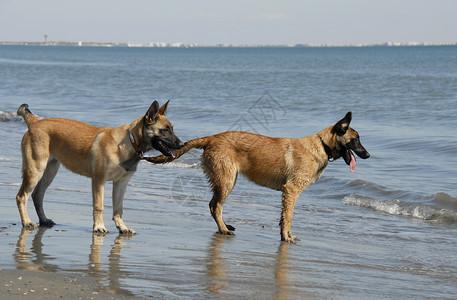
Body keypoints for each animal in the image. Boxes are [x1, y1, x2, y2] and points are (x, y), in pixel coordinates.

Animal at [16, 102, 183, 233]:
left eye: (172, 128)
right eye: (165, 129)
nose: (181, 145)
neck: (129, 142)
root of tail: (35, 122)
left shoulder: (121, 183)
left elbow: (118, 209)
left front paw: (122, 227)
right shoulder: (99, 181)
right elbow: (99, 206)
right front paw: (99, 227)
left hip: (49, 172)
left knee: (37, 195)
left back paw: (43, 220)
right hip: (35, 170)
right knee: (22, 196)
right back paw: (26, 221)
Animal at [148, 112, 368, 241]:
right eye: (355, 140)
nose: (368, 155)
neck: (321, 145)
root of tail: (212, 138)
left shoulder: (288, 193)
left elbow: (284, 217)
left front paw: (285, 235)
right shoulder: (292, 190)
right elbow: (289, 216)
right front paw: (287, 237)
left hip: (226, 180)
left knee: (213, 205)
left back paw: (224, 226)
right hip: (227, 180)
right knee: (215, 206)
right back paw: (224, 230)